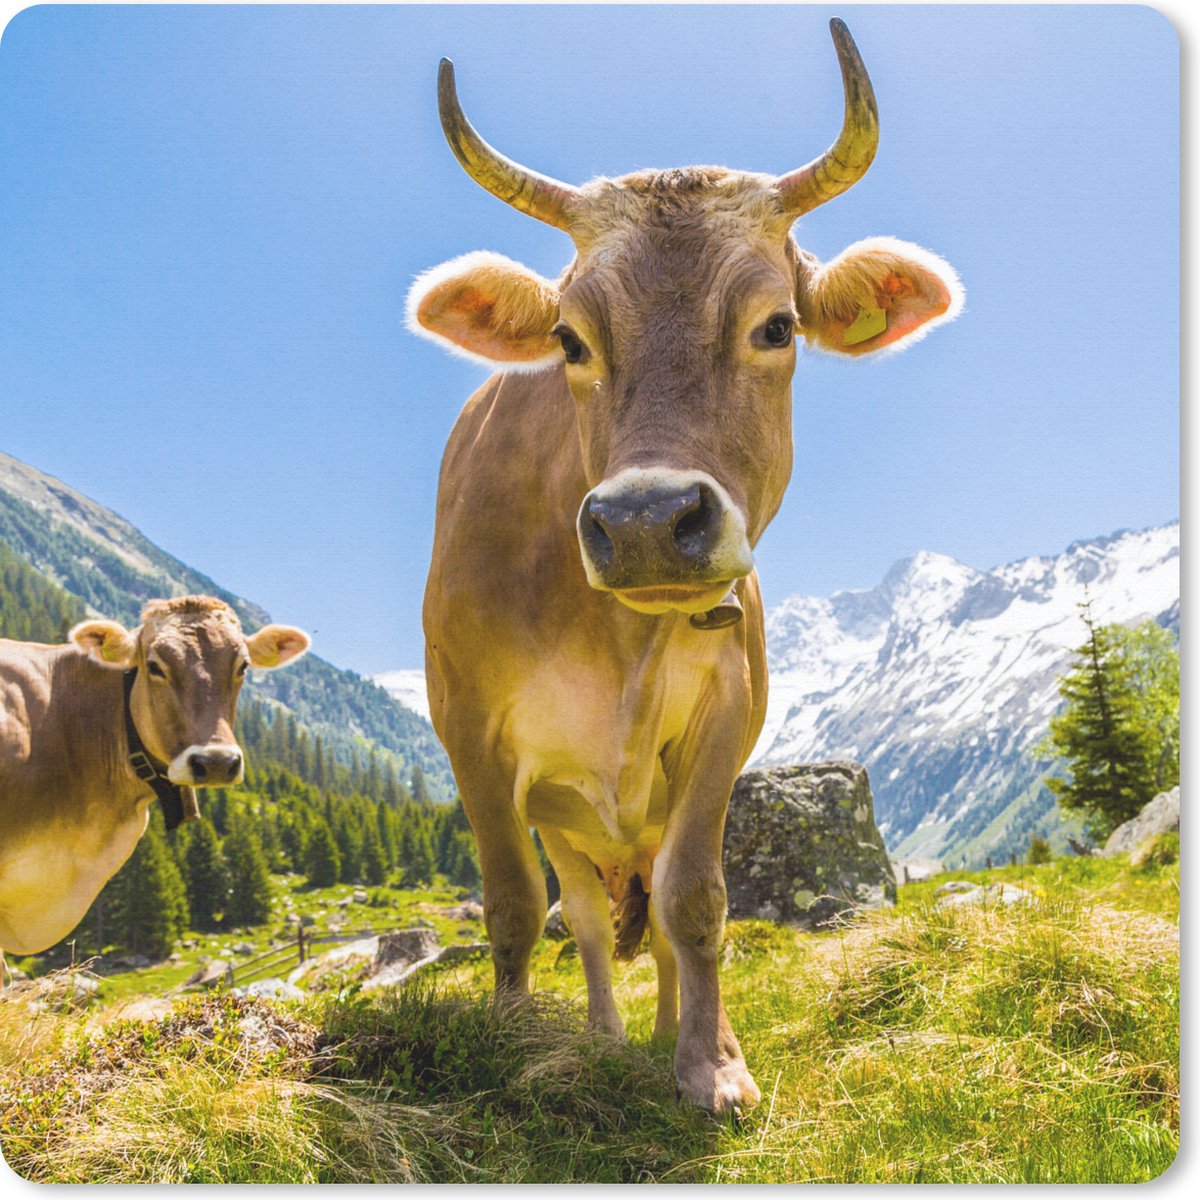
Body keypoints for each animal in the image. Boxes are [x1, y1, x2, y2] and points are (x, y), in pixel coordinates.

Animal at [409, 20, 962, 1114]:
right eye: (568, 339)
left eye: (776, 326)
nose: (647, 522)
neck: (610, 636)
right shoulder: (470, 732)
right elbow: (512, 903)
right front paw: (514, 1041)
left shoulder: (725, 717)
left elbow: (695, 902)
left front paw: (711, 1062)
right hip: (565, 815)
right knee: (583, 918)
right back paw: (603, 1035)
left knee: (656, 914)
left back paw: (665, 1031)